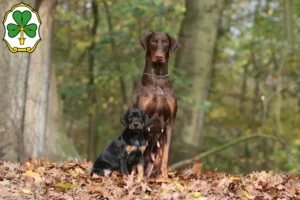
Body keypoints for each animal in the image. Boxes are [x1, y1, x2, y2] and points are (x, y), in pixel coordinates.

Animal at [131, 32, 178, 179]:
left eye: (165, 42)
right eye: (153, 41)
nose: (159, 56)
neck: (157, 78)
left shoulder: (170, 122)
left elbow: (166, 156)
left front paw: (165, 178)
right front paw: (139, 178)